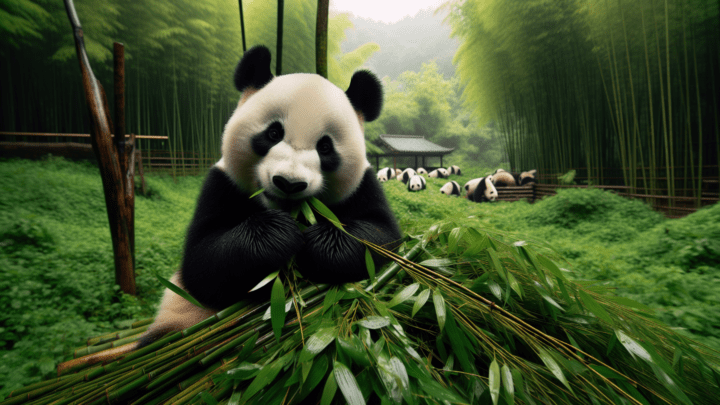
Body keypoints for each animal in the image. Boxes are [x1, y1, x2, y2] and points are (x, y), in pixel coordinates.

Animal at [138, 46, 403, 348]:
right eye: (273, 133)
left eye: (325, 147)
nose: (289, 183)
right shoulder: (222, 184)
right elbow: (201, 262)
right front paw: (277, 234)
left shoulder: (364, 186)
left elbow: (381, 238)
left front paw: (320, 240)